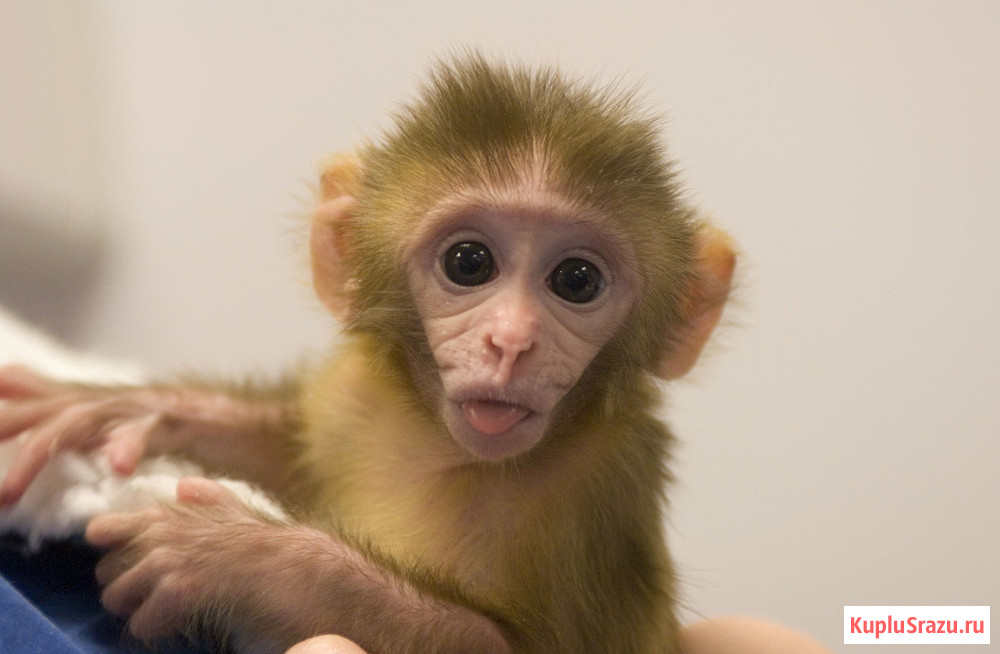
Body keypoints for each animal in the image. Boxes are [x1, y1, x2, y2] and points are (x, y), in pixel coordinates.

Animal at [0, 53, 735, 653]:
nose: (512, 340)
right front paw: (130, 409)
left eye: (576, 281)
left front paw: (245, 561)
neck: (442, 450)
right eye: (469, 262)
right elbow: (289, 456)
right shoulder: (354, 393)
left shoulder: (606, 488)